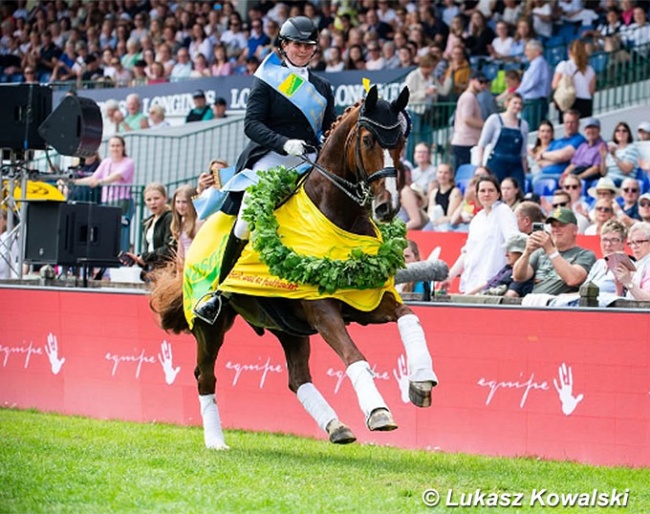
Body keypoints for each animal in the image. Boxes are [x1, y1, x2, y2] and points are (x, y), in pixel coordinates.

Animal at [150, 85, 438, 449]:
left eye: (401, 140)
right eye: (368, 139)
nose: (388, 207)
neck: (334, 215)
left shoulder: (363, 300)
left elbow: (409, 317)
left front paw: (421, 381)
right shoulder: (321, 309)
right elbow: (353, 355)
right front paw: (378, 412)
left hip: (287, 327)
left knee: (298, 378)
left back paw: (336, 427)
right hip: (210, 327)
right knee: (205, 375)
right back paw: (216, 441)